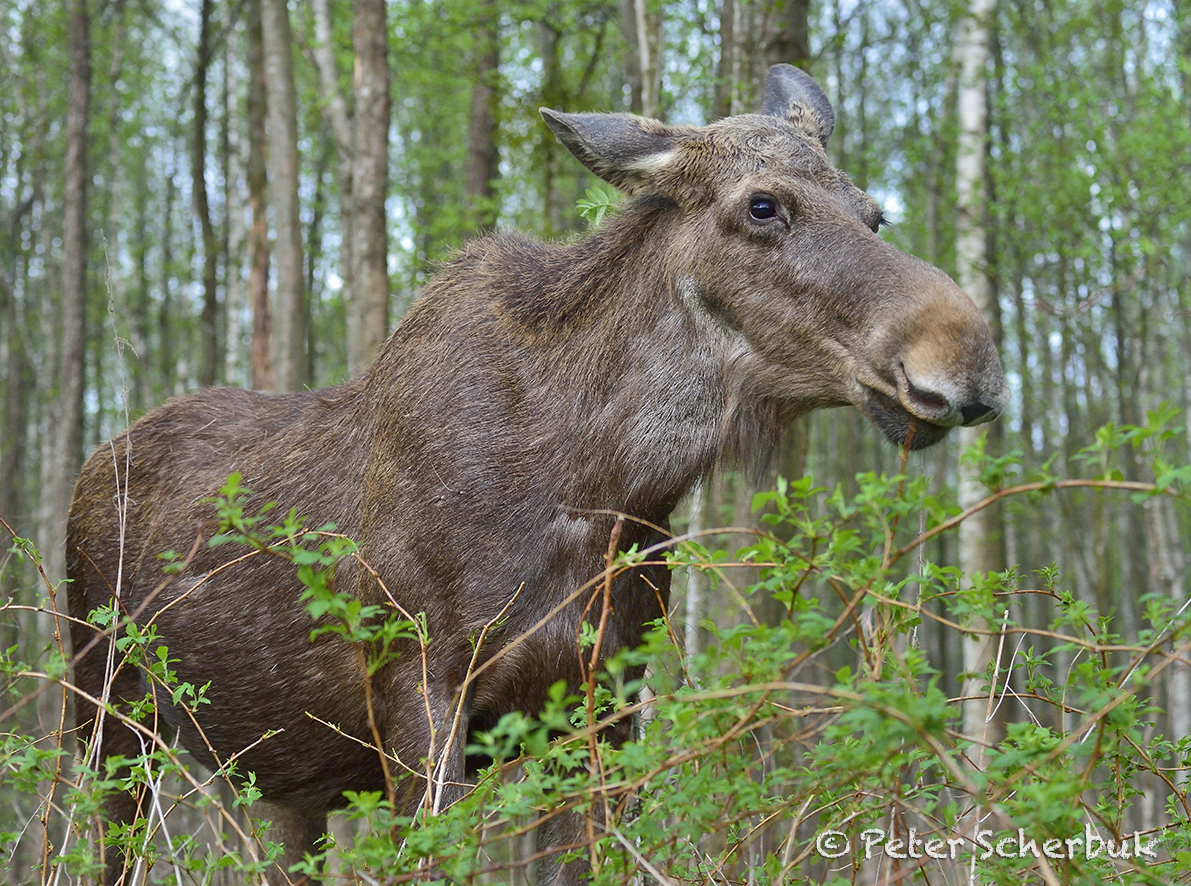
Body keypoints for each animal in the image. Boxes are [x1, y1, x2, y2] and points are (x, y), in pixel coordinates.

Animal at [67, 65, 1005, 881]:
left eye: (874, 213)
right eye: (762, 204)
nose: (969, 360)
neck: (602, 486)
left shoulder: (600, 707)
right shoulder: (420, 690)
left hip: (290, 784)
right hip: (108, 714)